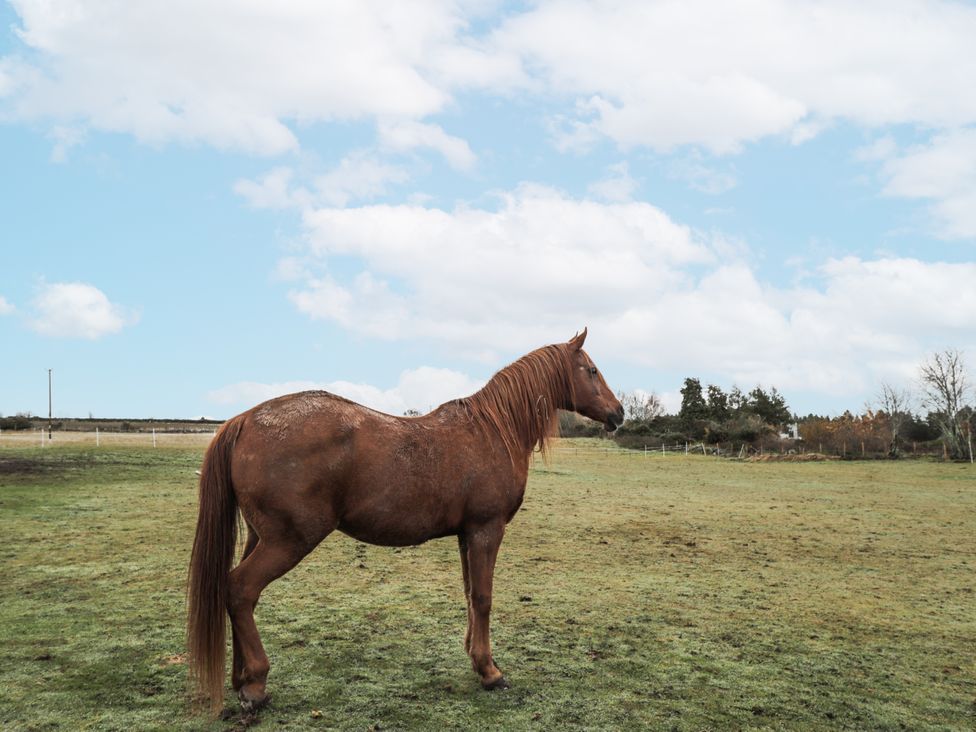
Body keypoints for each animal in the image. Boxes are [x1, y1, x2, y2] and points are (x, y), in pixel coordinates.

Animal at [187, 329, 624, 714]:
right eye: (591, 370)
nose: (618, 413)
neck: (492, 431)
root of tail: (244, 419)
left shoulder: (466, 535)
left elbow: (470, 595)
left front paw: (475, 659)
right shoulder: (486, 529)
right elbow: (483, 598)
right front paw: (490, 671)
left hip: (259, 538)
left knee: (239, 595)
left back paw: (241, 679)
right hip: (288, 541)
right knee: (241, 590)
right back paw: (256, 686)